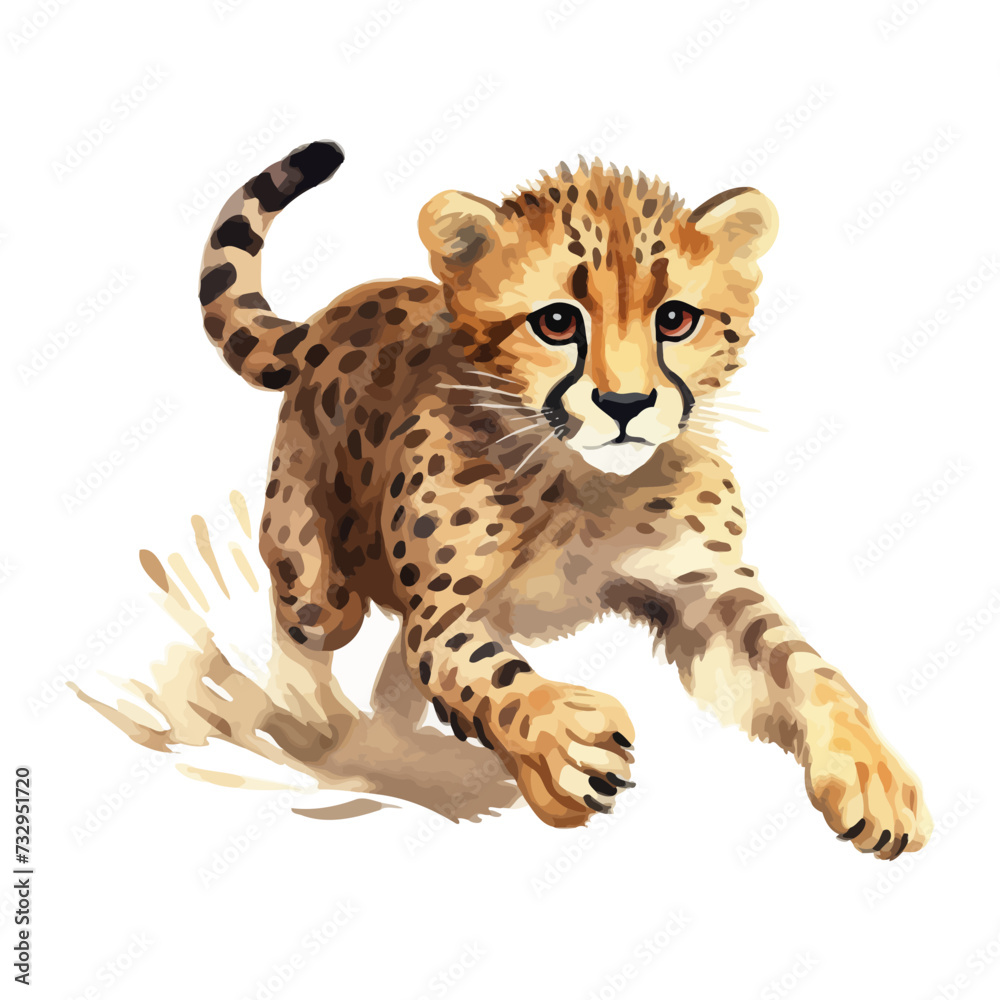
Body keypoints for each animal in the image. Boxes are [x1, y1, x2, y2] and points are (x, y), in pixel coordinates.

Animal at [198, 140, 932, 858]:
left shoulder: (704, 585)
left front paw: (871, 772)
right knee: (309, 626)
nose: (626, 404)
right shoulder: (444, 609)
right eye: (556, 322)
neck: (587, 483)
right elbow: (487, 670)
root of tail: (339, 307)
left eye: (676, 319)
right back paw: (323, 730)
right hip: (313, 560)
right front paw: (567, 745)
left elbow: (803, 663)